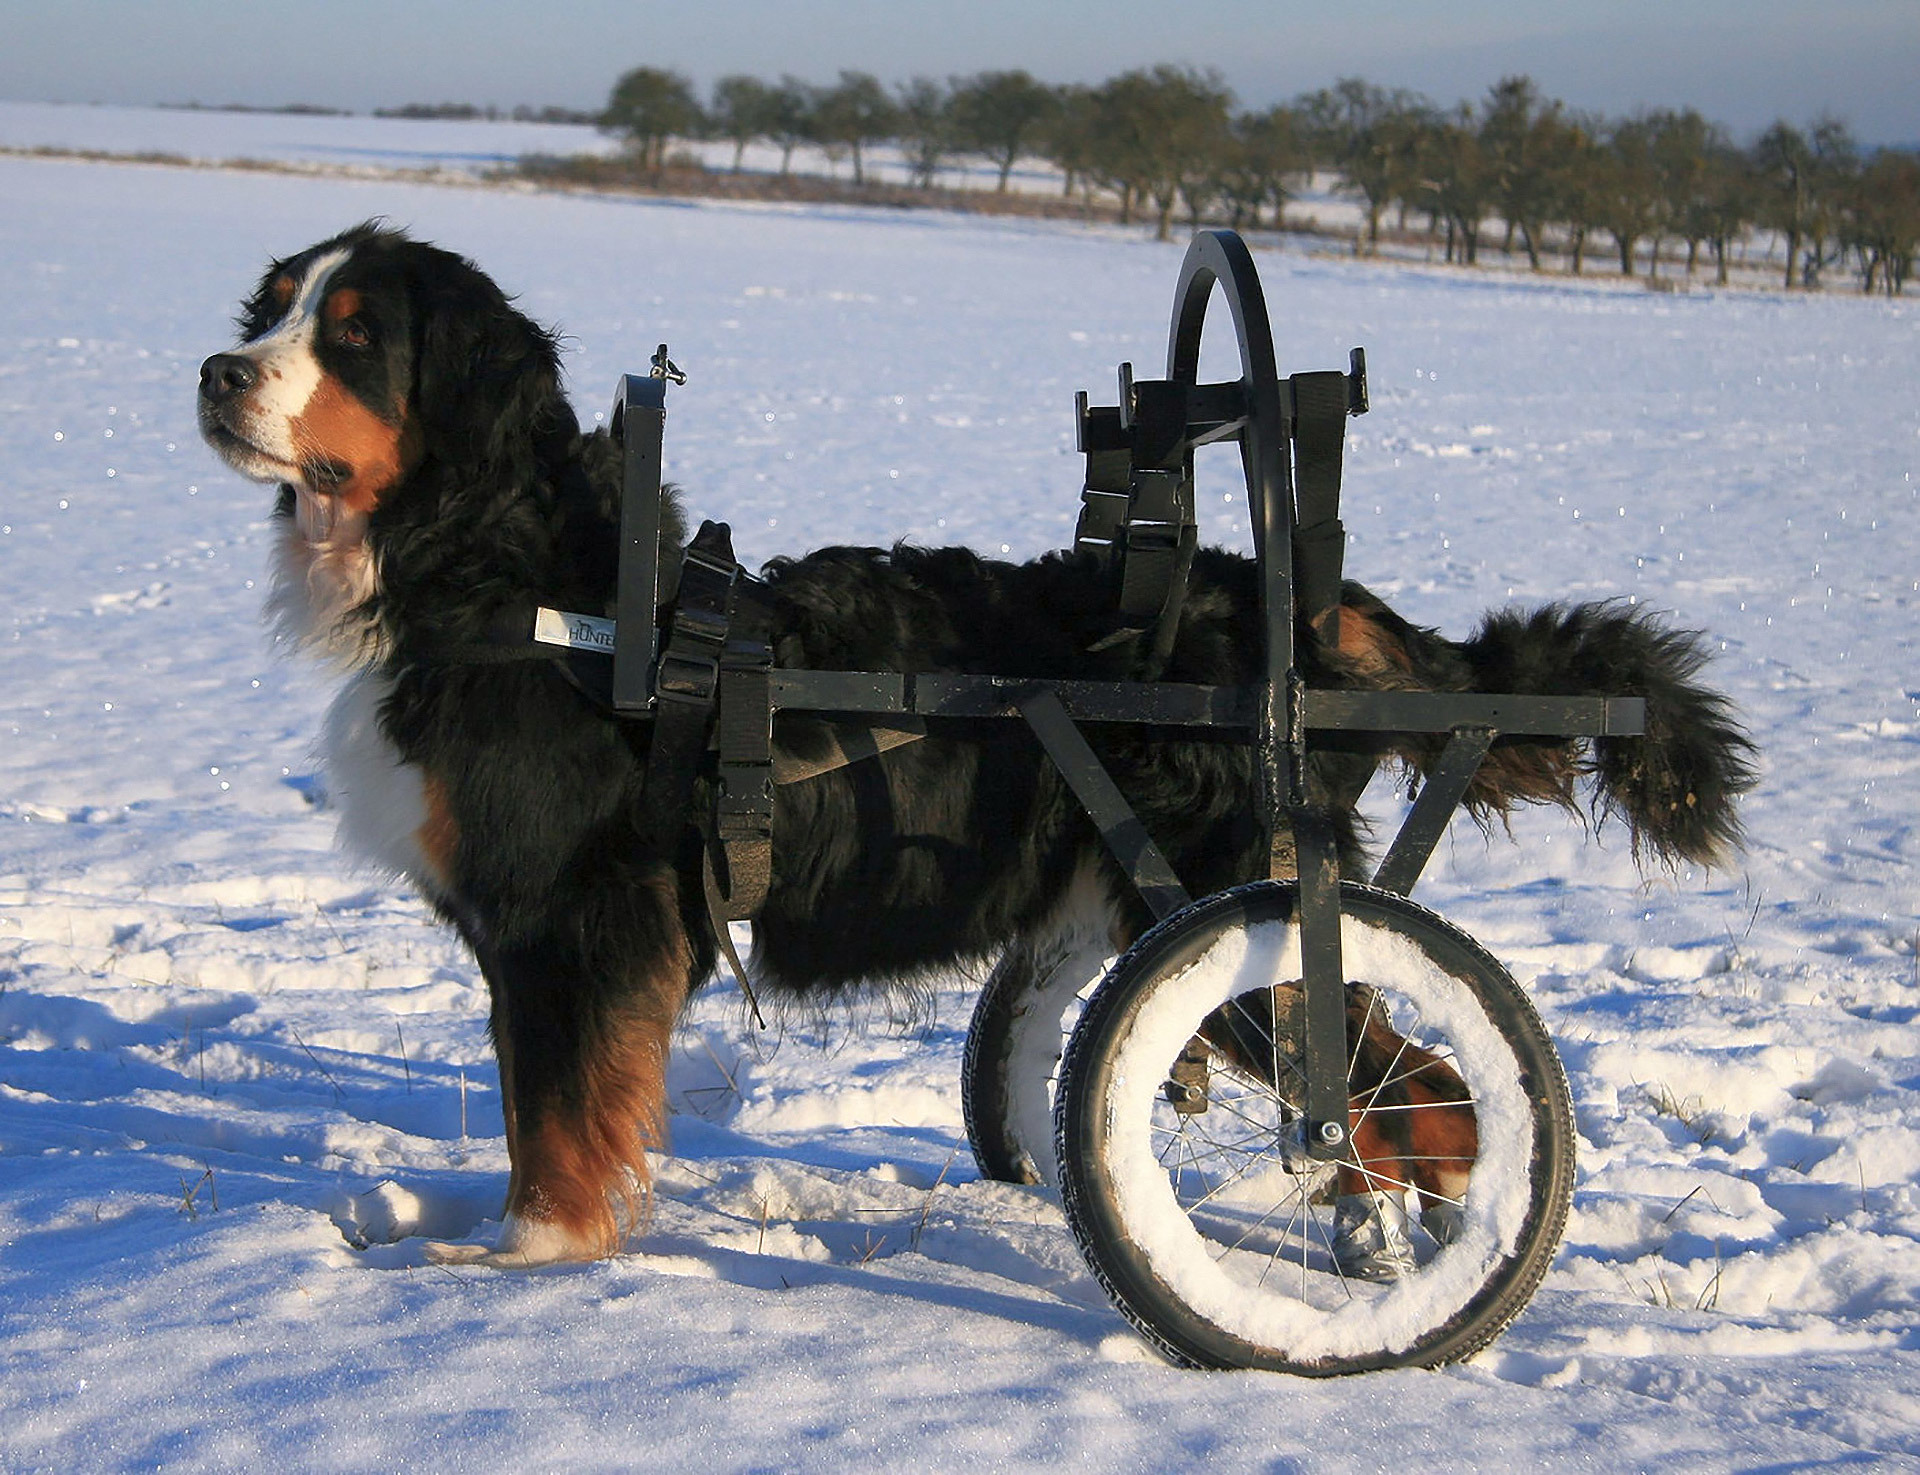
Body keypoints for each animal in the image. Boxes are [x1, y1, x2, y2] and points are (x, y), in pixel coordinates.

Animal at [198, 221, 1758, 1267]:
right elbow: (543, 1108)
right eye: (270, 309)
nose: (216, 370)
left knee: (1419, 1096)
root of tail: (1303, 611)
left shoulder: (573, 927)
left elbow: (562, 1120)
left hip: (1244, 926)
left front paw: (522, 1264)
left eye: (352, 335)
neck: (519, 574)